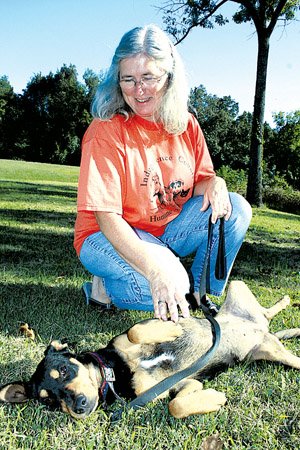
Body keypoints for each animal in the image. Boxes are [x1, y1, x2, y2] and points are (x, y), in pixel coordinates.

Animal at [0, 280, 298, 420]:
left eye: (63, 370)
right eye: (49, 401)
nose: (78, 407)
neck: (116, 373)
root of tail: (264, 332)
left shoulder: (138, 331)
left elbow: (137, 330)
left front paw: (175, 330)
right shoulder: (181, 385)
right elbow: (177, 405)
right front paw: (214, 398)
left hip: (237, 289)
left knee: (264, 311)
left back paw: (284, 300)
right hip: (273, 352)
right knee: (268, 322)